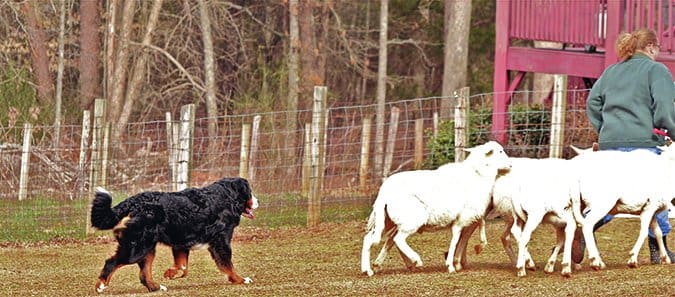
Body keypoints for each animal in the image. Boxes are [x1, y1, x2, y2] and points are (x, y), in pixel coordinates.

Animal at [90, 176, 258, 292]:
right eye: (250, 192)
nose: (258, 201)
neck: (225, 197)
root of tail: (133, 201)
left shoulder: (182, 242)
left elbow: (182, 266)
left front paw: (171, 274)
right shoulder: (221, 240)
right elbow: (227, 264)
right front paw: (240, 279)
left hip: (147, 247)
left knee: (144, 274)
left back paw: (156, 287)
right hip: (138, 247)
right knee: (112, 262)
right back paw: (101, 286)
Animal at [360, 140, 512, 276]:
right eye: (499, 151)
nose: (510, 165)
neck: (478, 175)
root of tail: (383, 192)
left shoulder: (470, 216)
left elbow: (475, 232)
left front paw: (476, 249)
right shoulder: (462, 219)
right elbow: (456, 240)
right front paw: (451, 265)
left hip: (388, 220)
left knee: (371, 239)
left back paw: (369, 269)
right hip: (411, 219)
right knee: (398, 239)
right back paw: (416, 260)